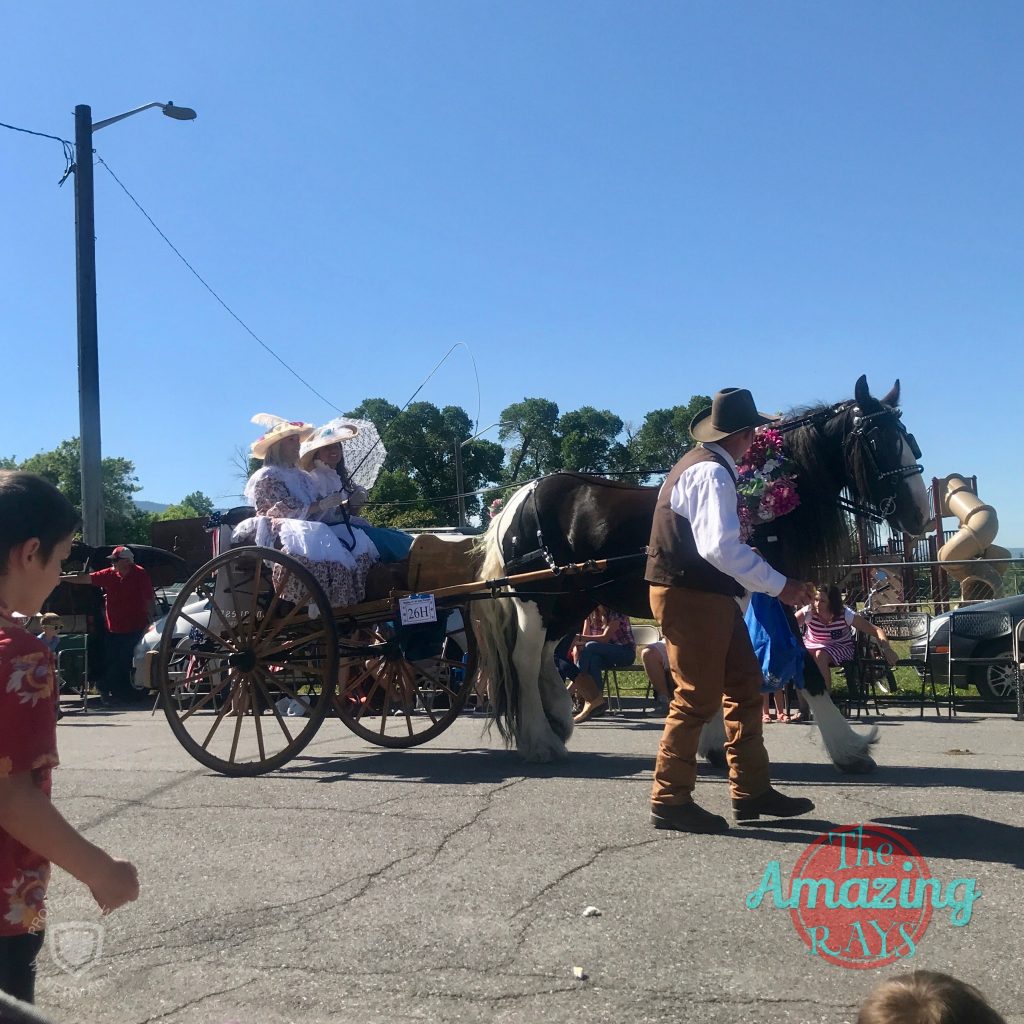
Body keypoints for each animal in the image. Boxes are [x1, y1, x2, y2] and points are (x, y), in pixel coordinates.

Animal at [475, 376, 933, 770]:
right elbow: (799, 667)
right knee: (525, 659)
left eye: (910, 441)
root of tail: (521, 496)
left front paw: (713, 745)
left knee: (545, 659)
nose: (919, 516)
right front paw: (849, 747)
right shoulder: (756, 594)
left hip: (569, 603)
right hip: (537, 602)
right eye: (877, 441)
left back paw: (557, 723)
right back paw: (540, 741)